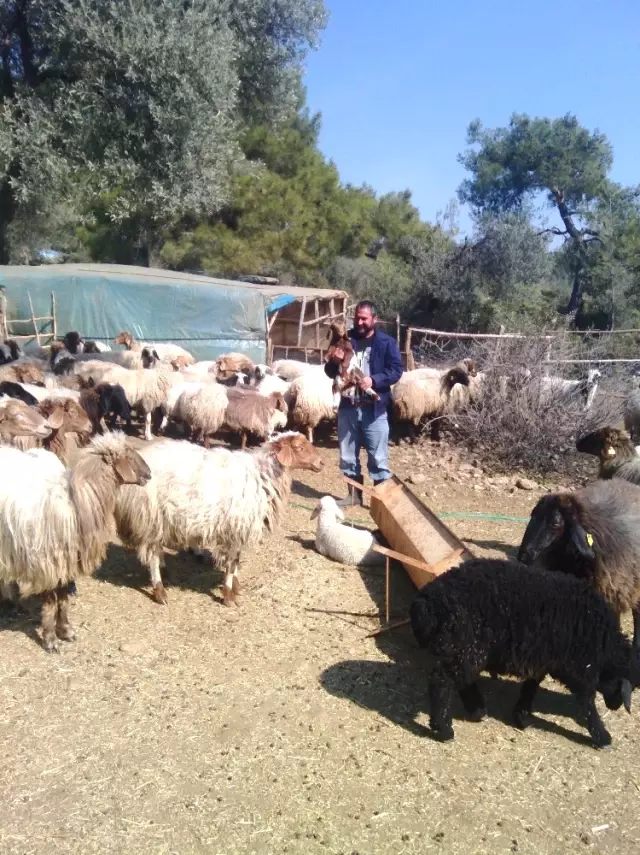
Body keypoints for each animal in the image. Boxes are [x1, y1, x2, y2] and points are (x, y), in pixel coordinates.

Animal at [0, 432, 150, 652]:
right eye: (129, 455)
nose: (149, 474)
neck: (76, 504)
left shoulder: (67, 565)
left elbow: (63, 600)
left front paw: (65, 630)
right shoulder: (49, 566)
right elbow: (50, 603)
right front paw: (50, 640)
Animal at [113, 432, 322, 604]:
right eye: (300, 448)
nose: (321, 463)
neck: (262, 475)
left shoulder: (238, 529)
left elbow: (236, 561)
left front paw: (236, 587)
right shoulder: (235, 528)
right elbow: (231, 563)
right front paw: (229, 596)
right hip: (150, 516)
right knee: (153, 556)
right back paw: (160, 591)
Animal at [410, 560, 640, 744]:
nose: (615, 707)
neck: (604, 647)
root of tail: (428, 600)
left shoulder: (542, 659)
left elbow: (531, 685)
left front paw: (521, 715)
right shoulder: (578, 670)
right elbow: (587, 703)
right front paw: (602, 736)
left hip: (464, 649)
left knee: (461, 680)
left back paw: (476, 710)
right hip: (465, 645)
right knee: (442, 682)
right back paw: (444, 729)